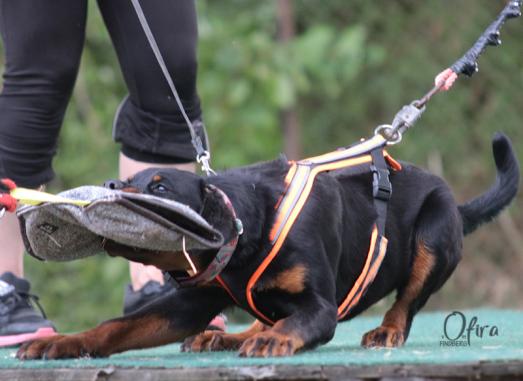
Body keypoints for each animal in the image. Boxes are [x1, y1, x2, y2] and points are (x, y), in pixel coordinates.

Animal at [17, 132, 520, 358]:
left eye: (159, 187)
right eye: (123, 182)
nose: (108, 187)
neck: (244, 236)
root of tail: (455, 202)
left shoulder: (321, 305)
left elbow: (297, 321)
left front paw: (275, 340)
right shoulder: (188, 303)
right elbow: (117, 327)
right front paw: (63, 342)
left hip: (434, 232)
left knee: (407, 302)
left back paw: (386, 331)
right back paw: (223, 336)